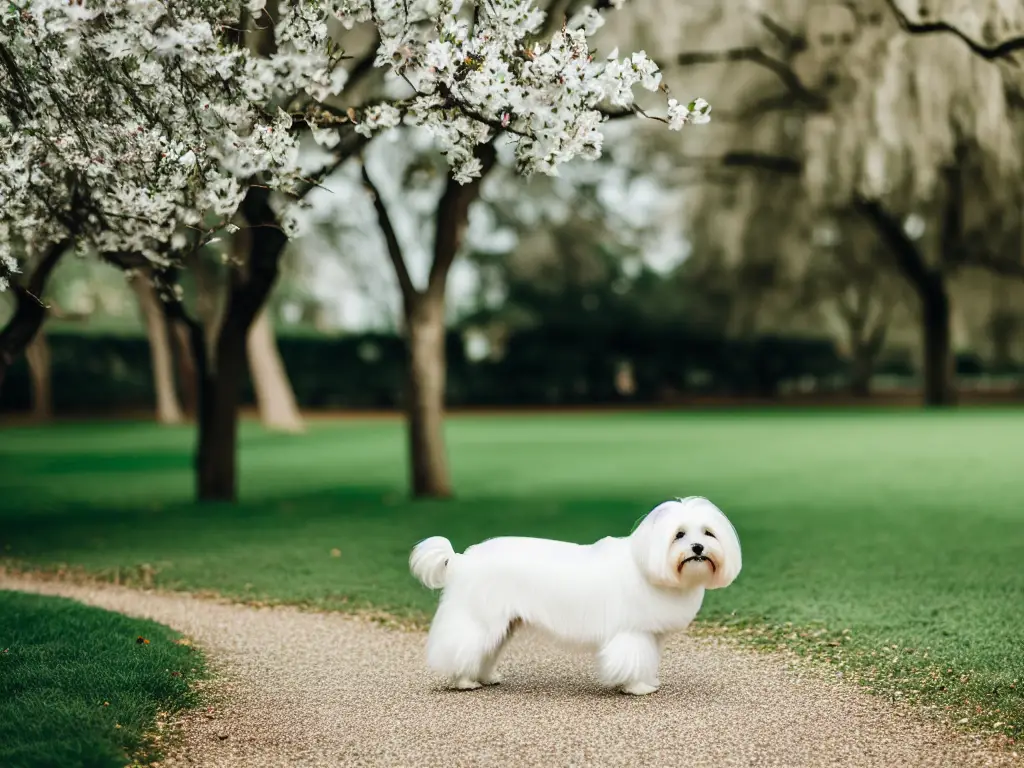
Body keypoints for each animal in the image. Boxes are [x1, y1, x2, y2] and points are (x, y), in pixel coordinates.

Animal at [409, 499, 745, 696]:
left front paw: (647, 683)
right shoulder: (632, 633)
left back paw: (486, 678)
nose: (698, 548)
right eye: (679, 535)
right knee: (458, 647)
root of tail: (460, 560)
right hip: (479, 620)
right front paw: (637, 688)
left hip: (503, 626)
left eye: (708, 533)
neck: (646, 562)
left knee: (483, 652)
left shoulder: (649, 636)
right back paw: (463, 682)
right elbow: (633, 660)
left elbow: (646, 661)